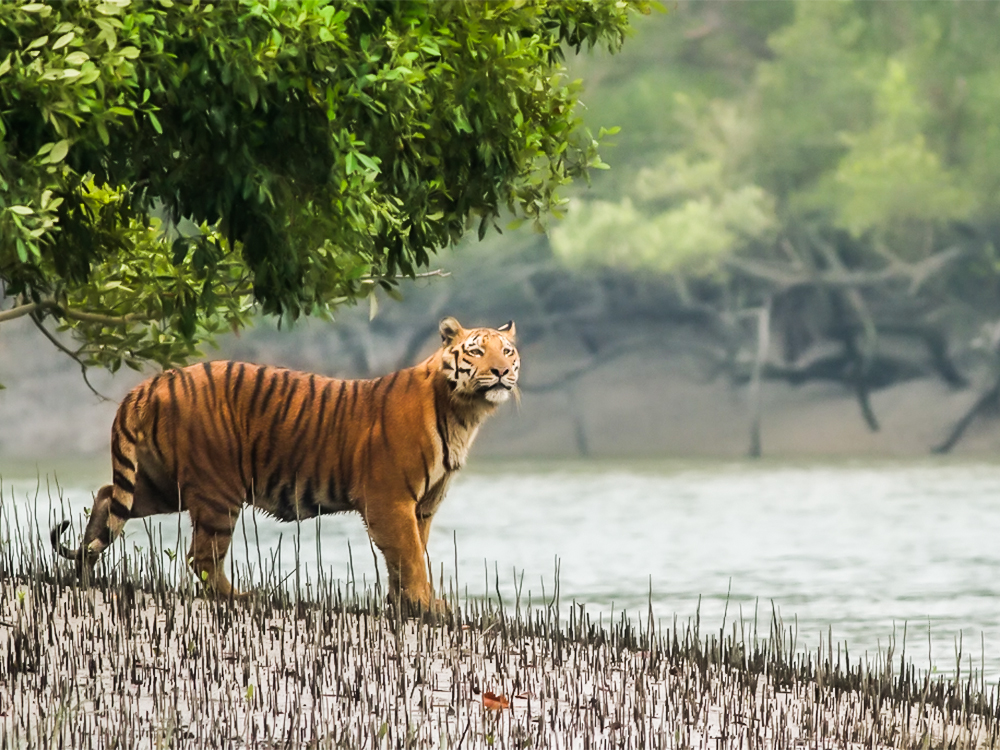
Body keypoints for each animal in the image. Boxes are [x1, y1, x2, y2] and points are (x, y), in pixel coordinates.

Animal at [50, 314, 520, 612]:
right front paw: (426, 606)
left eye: (508, 351)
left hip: (162, 484)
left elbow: (409, 555)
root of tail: (152, 382)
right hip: (218, 490)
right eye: (476, 352)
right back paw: (239, 598)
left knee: (107, 497)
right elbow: (409, 556)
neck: (463, 413)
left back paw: (84, 572)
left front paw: (406, 603)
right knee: (202, 557)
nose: (501, 372)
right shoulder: (391, 500)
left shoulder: (422, 505)